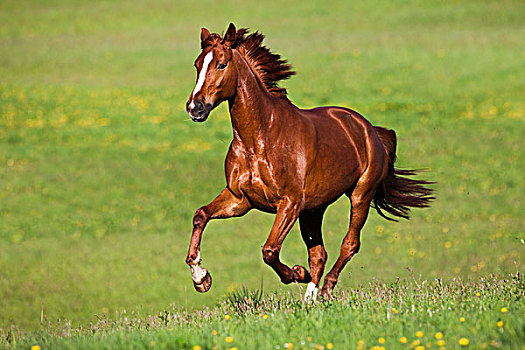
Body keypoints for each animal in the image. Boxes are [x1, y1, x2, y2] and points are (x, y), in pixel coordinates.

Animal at [184, 23, 434, 300]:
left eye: (221, 64)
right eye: (197, 64)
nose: (195, 107)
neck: (258, 140)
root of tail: (370, 130)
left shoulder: (289, 203)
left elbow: (270, 251)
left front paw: (296, 273)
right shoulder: (240, 200)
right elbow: (201, 215)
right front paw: (201, 278)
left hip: (360, 195)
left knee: (350, 244)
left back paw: (324, 289)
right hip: (313, 210)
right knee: (319, 254)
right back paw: (311, 296)